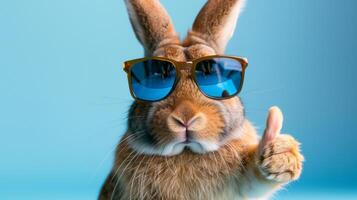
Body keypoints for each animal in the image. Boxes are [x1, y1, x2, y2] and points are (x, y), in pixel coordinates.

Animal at [98, 0, 304, 200]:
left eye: (212, 76)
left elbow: (254, 180)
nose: (186, 117)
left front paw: (280, 155)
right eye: (157, 77)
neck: (186, 151)